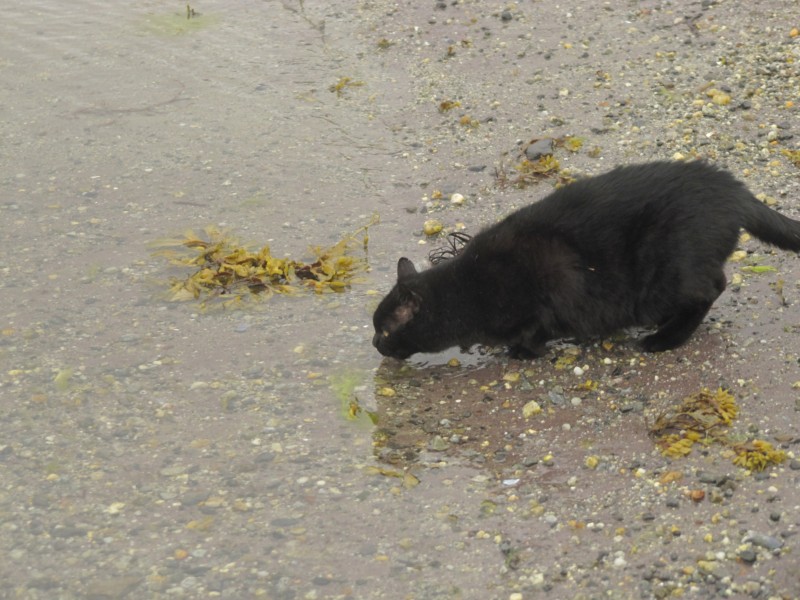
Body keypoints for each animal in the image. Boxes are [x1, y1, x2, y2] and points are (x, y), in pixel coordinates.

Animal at [372, 159, 800, 358]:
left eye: (386, 331)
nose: (375, 345)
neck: (465, 290)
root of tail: (733, 191)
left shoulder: (546, 291)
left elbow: (534, 330)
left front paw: (522, 352)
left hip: (667, 275)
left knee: (712, 288)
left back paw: (664, 339)